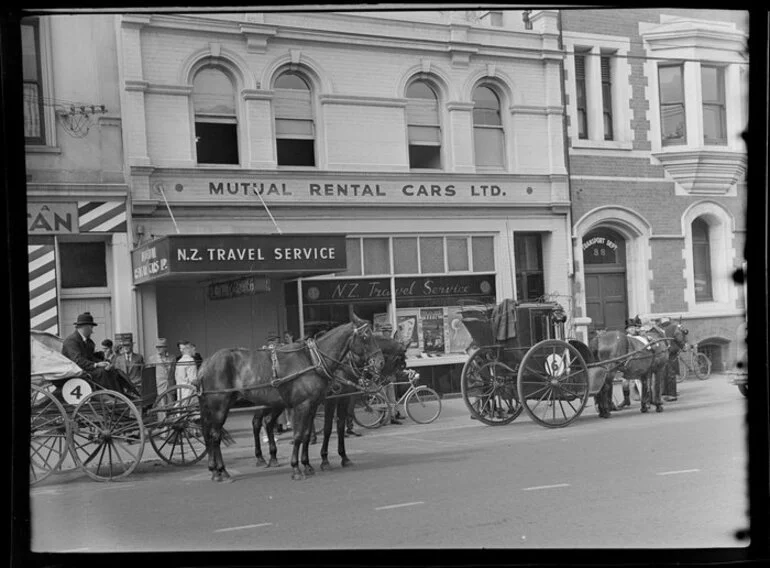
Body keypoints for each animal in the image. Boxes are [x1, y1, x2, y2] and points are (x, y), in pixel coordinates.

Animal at [195, 312, 380, 482]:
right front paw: (297, 468)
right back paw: (222, 471)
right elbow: (300, 435)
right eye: (365, 336)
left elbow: (307, 434)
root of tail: (206, 364)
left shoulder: (313, 405)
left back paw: (221, 469)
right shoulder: (305, 405)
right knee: (216, 435)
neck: (313, 360)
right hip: (220, 406)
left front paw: (307, 465)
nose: (380, 362)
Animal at [316, 338, 408, 470]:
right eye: (399, 364)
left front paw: (344, 456)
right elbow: (328, 428)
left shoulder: (345, 397)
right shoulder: (332, 399)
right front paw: (324, 459)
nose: (386, 381)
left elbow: (341, 424)